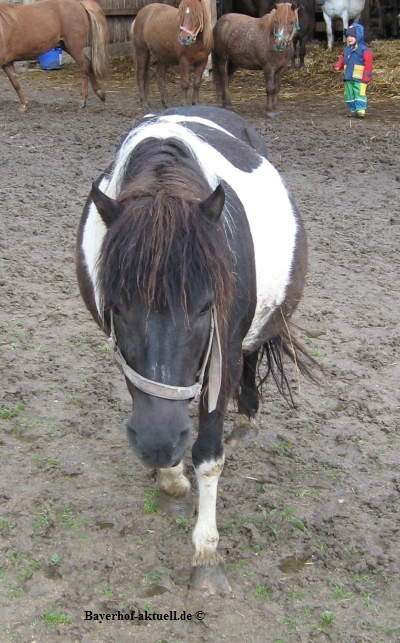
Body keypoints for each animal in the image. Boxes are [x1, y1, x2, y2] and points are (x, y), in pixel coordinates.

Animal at [76, 105, 317, 594]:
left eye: (206, 305)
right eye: (116, 305)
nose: (157, 442)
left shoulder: (222, 356)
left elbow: (207, 454)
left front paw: (206, 551)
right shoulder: (131, 365)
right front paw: (170, 479)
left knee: (250, 357)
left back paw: (246, 418)